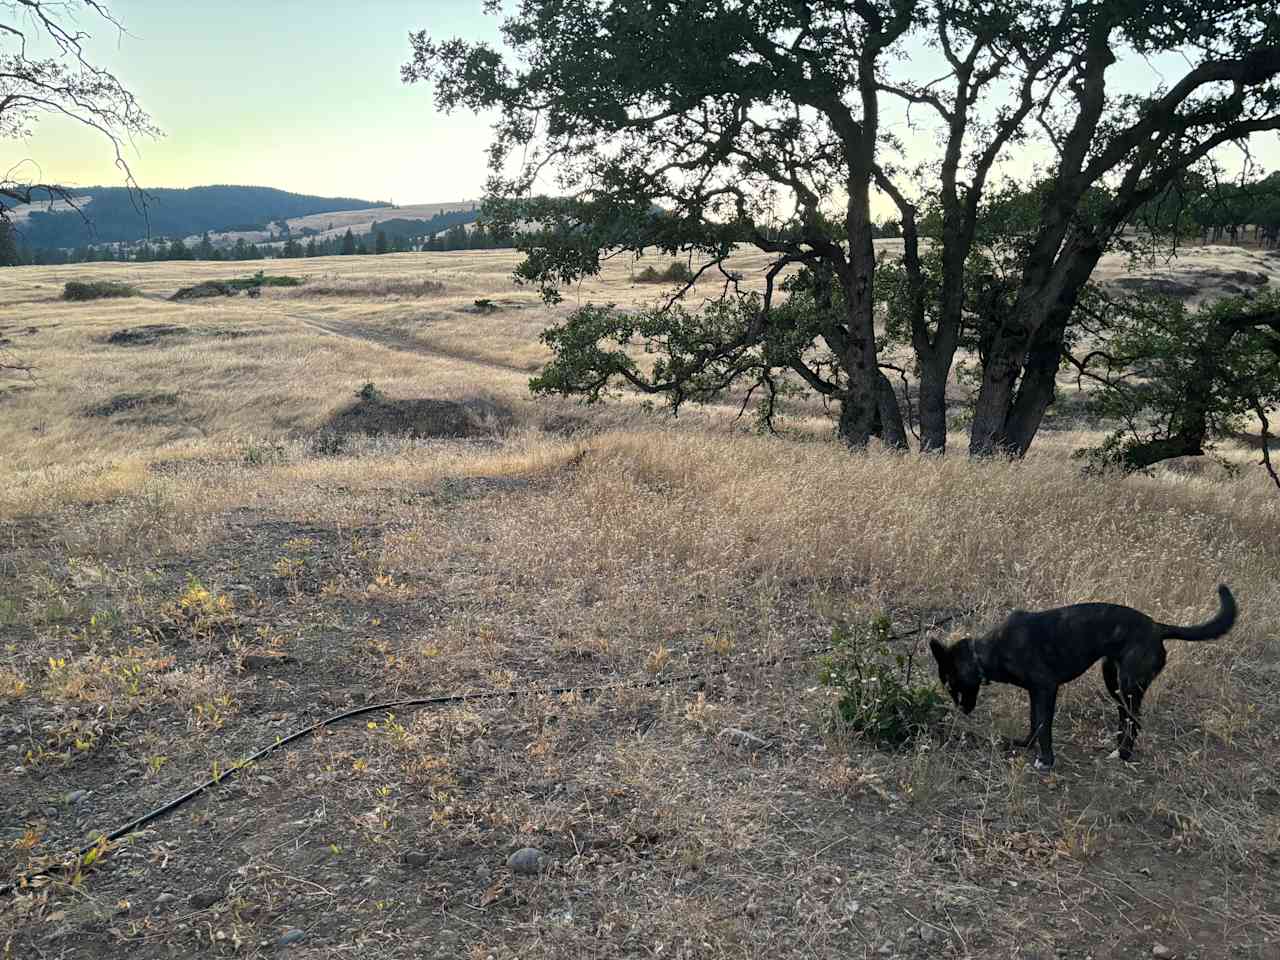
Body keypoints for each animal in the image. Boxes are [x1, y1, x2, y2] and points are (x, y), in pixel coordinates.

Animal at [931, 583, 1239, 773]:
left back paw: (1123, 754)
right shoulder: (1035, 692)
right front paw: (1025, 744)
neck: (987, 653)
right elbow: (1034, 722)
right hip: (1112, 679)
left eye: (952, 685)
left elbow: (1044, 725)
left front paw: (1045, 760)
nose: (961, 710)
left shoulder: (1046, 687)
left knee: (1134, 719)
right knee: (1125, 717)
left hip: (1128, 684)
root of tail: (1157, 627)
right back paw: (1117, 748)